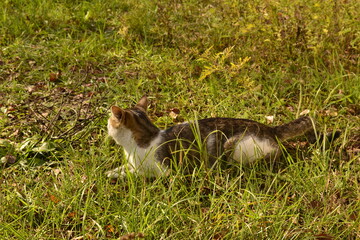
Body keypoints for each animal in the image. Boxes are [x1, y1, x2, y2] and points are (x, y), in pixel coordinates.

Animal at [105, 95, 338, 178]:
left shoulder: (166, 172)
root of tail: (269, 128)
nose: (106, 125)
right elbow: (122, 169)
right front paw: (109, 173)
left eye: (109, 121)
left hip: (230, 145)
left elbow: (139, 174)